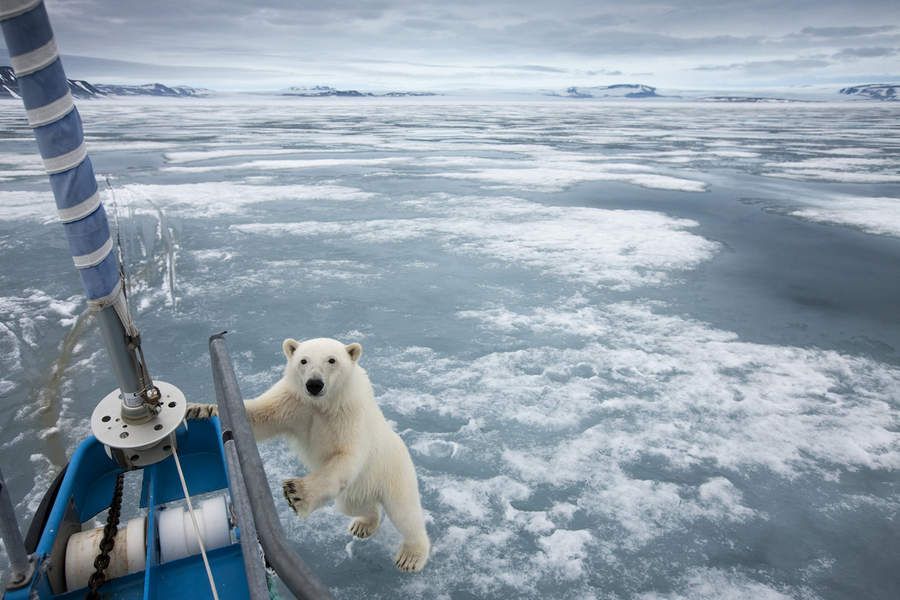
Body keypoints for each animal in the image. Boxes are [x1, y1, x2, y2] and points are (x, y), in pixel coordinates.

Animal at [185, 338, 430, 572]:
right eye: (303, 360)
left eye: (332, 360)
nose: (314, 384)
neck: (323, 404)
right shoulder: (294, 401)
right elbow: (257, 417)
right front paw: (200, 410)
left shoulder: (350, 413)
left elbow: (346, 455)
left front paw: (296, 494)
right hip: (356, 489)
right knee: (354, 505)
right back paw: (363, 524)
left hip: (393, 472)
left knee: (405, 514)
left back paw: (411, 556)